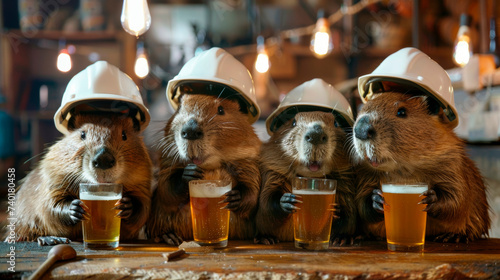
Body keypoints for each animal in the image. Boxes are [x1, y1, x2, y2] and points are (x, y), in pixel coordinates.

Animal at [7, 112, 152, 244]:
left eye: (124, 135)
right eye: (82, 134)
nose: (103, 158)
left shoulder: (142, 182)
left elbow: (143, 208)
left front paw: (126, 206)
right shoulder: (52, 176)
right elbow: (49, 207)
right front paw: (75, 208)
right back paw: (50, 239)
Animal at [146, 93, 262, 244]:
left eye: (221, 110)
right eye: (180, 108)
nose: (190, 131)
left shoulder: (249, 159)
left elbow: (253, 191)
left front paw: (234, 197)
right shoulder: (167, 161)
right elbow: (166, 191)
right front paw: (190, 173)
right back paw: (169, 237)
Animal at [256, 110, 358, 246]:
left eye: (336, 123)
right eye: (293, 122)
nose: (315, 134)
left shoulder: (345, 179)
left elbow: (350, 215)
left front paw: (337, 219)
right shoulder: (272, 170)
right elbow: (266, 204)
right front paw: (288, 200)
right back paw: (265, 239)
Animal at [354, 92, 490, 243]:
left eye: (401, 112)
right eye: (362, 108)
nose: (360, 129)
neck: (404, 172)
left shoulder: (453, 163)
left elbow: (458, 197)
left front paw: (430, 198)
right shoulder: (365, 174)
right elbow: (361, 202)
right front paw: (377, 199)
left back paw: (453, 236)